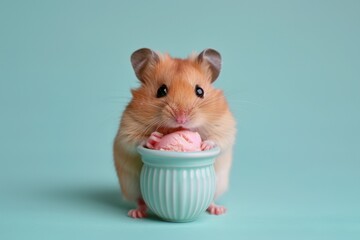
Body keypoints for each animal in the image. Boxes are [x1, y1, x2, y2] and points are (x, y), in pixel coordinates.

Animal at [113, 48, 236, 218]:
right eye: (161, 90)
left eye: (200, 91)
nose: (181, 118)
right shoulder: (127, 126)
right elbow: (133, 139)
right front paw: (154, 138)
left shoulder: (224, 125)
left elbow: (219, 139)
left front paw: (205, 145)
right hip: (130, 186)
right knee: (140, 200)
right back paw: (136, 213)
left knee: (211, 200)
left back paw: (218, 210)